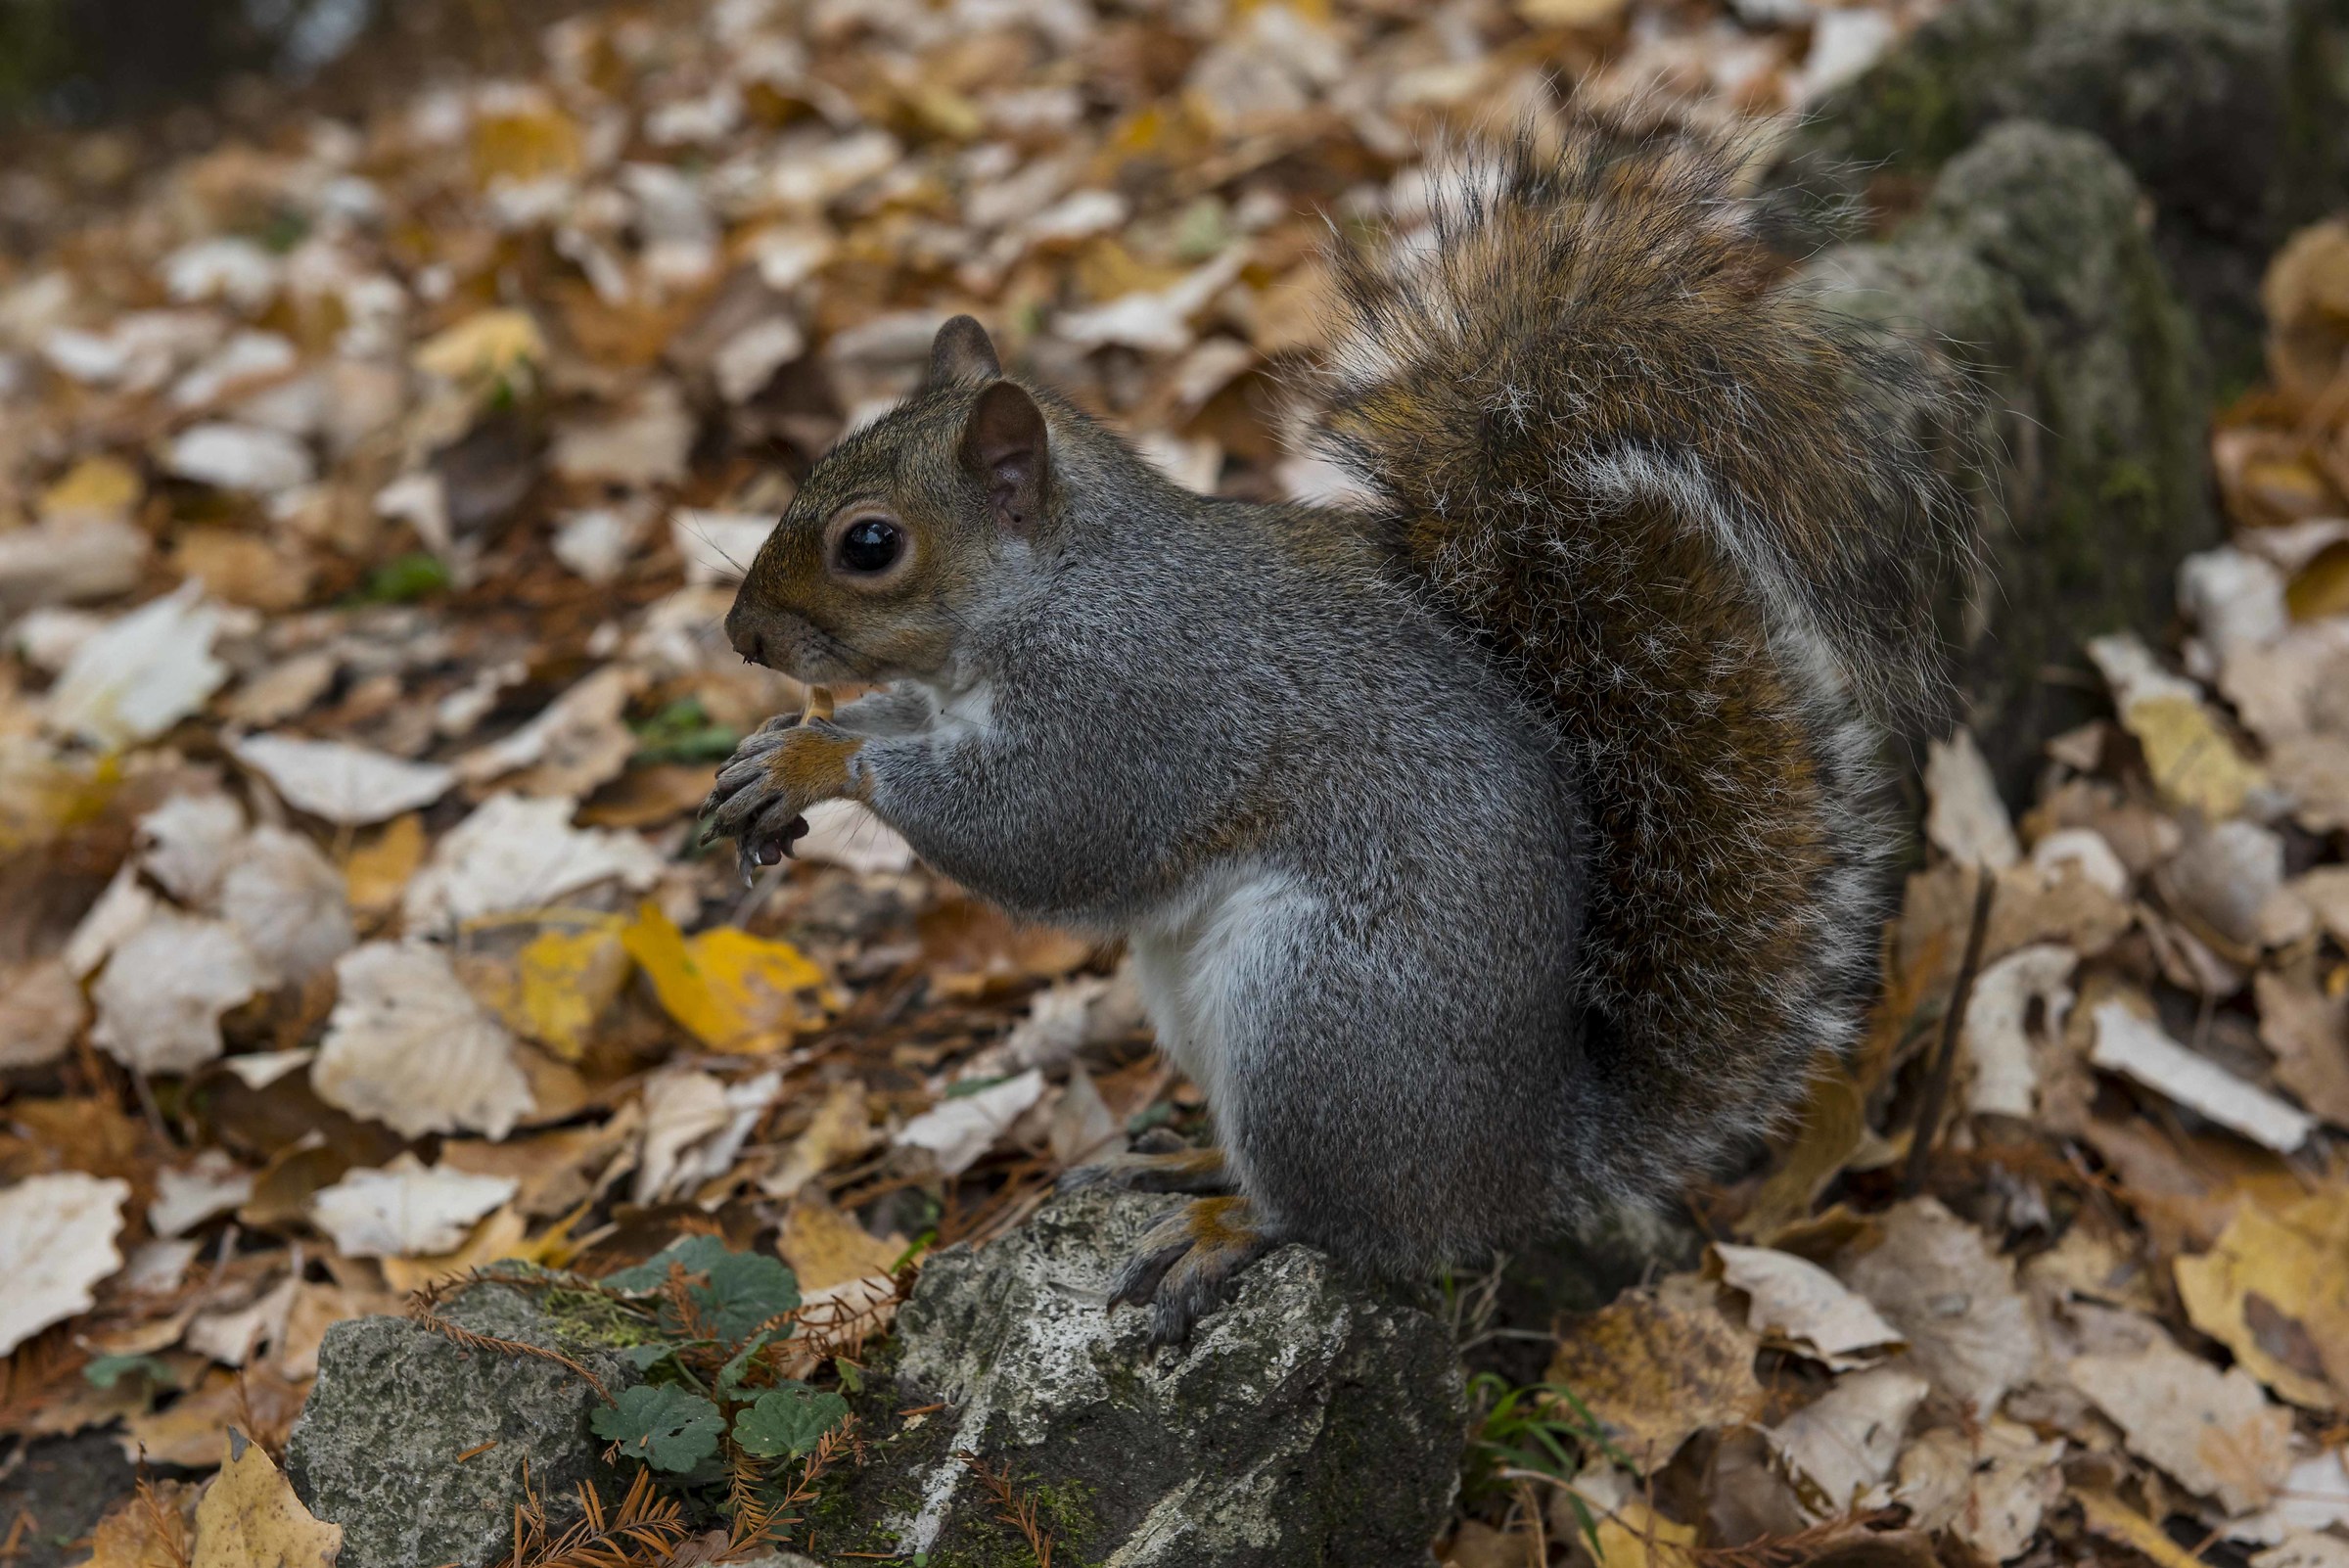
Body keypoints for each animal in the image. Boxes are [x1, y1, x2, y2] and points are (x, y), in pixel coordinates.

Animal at [704, 113, 1978, 1343]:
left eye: (870, 544)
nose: (742, 637)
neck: (1056, 588)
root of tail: (1529, 1161)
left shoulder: (1138, 705)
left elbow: (1042, 832)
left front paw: (824, 757)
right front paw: (771, 752)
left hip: (1319, 1024)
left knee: (1334, 1218)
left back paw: (1223, 1229)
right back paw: (1190, 1158)